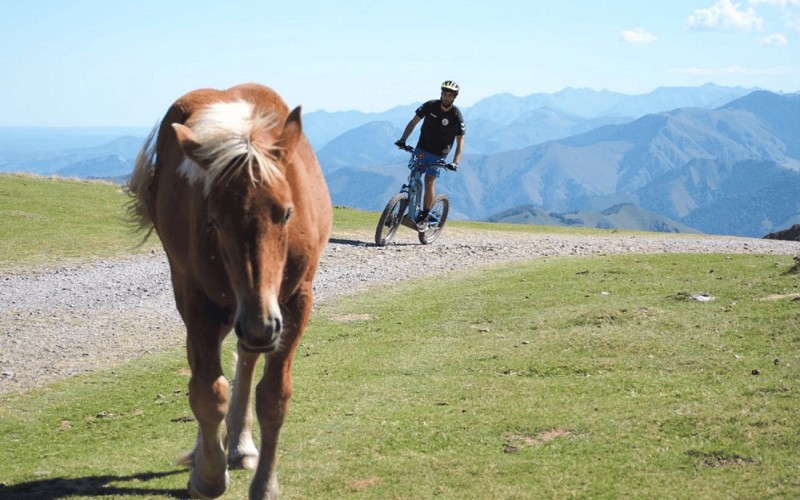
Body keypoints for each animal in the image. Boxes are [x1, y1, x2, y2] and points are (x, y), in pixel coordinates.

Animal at [127, 83, 332, 499]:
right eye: (216, 220)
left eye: (287, 212)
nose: (260, 325)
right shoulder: (200, 303)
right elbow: (208, 391)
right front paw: (207, 475)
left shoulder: (295, 303)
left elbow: (273, 396)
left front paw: (265, 483)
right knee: (201, 365)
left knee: (246, 359)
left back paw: (239, 445)